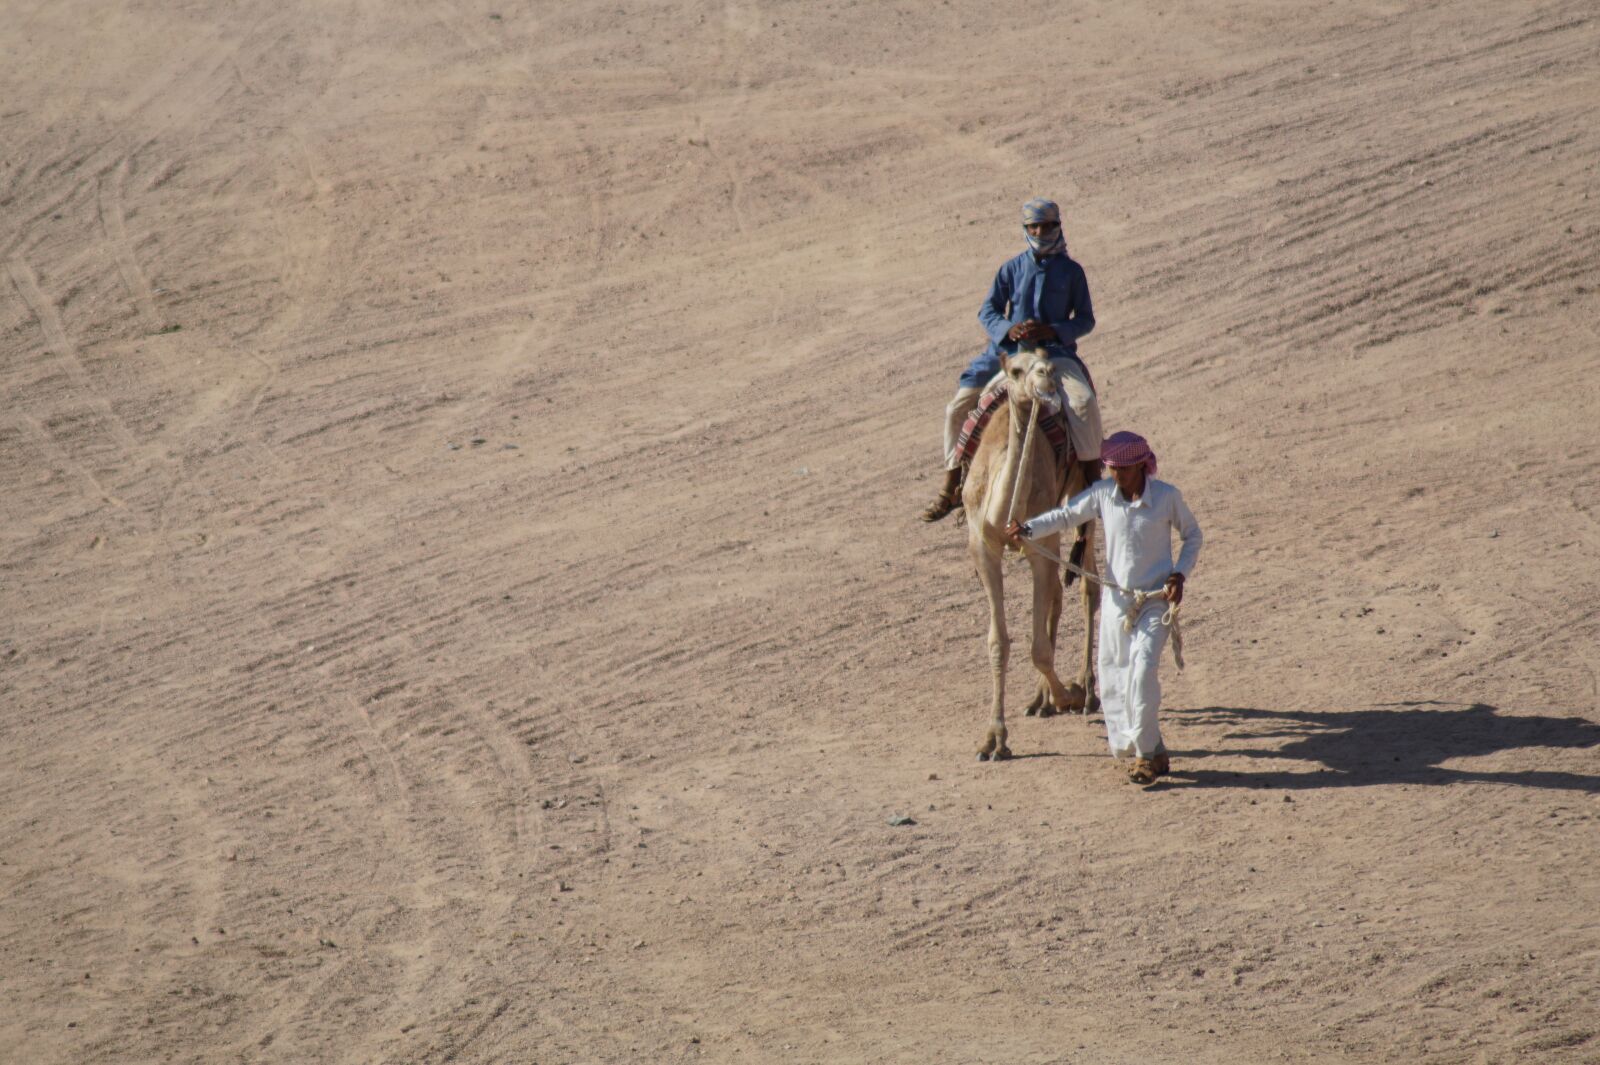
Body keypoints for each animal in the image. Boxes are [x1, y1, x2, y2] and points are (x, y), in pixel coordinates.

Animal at [965, 348, 1099, 761]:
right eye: (1015, 369)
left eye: (1046, 363)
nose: (1046, 376)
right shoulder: (983, 548)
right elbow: (998, 642)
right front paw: (994, 740)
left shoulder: (1043, 542)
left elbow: (1038, 648)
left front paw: (1068, 696)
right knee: (1056, 594)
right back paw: (1041, 700)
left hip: (1082, 492)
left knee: (1088, 588)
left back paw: (1086, 690)